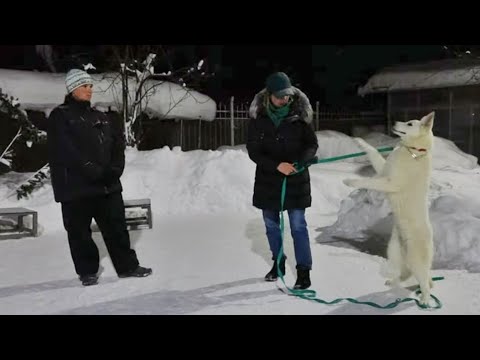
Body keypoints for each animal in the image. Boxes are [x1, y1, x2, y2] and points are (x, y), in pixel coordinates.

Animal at [344, 111, 436, 306]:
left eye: (409, 124)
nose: (393, 121)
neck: (413, 152)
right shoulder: (383, 170)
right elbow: (373, 150)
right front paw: (359, 141)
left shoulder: (389, 182)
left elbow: (368, 181)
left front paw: (350, 181)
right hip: (393, 252)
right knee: (406, 274)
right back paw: (393, 282)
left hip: (416, 260)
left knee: (425, 281)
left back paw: (425, 299)